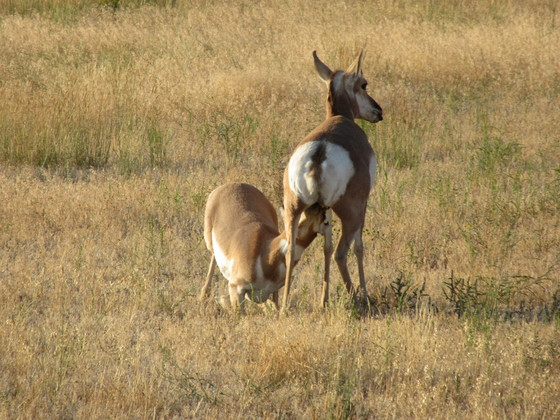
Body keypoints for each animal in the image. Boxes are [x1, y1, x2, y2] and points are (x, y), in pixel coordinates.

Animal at [282, 50, 383, 311]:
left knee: (291, 251)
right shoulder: (363, 205)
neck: (339, 118)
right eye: (363, 84)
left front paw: (323, 299)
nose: (378, 111)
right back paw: (359, 298)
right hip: (351, 214)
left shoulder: (322, 209)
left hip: (294, 210)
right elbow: (358, 247)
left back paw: (284, 305)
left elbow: (325, 247)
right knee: (342, 252)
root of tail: (321, 152)